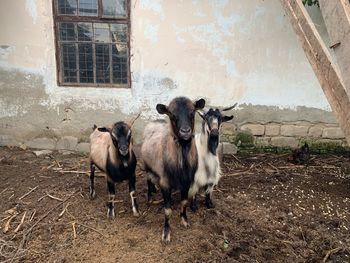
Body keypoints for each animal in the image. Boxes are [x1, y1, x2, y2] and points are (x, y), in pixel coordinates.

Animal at [140, 97, 205, 243]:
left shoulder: (187, 182)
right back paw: (150, 197)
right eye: (171, 114)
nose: (185, 131)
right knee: (148, 179)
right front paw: (166, 233)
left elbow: (184, 202)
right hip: (147, 165)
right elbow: (167, 210)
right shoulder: (165, 183)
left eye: (192, 112)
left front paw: (184, 220)